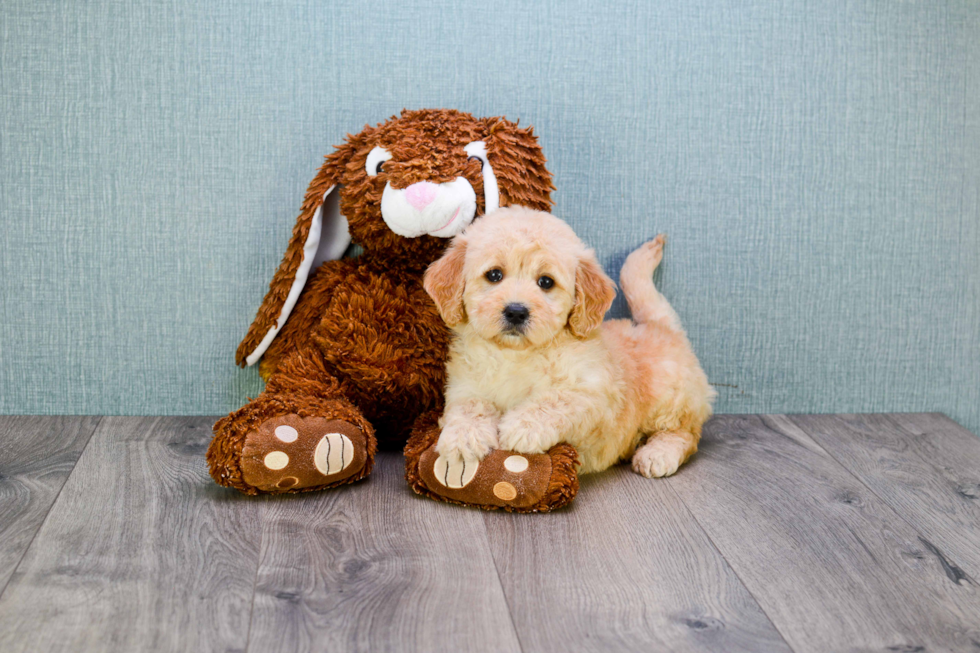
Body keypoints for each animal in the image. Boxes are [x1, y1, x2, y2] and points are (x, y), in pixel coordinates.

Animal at [424, 206, 716, 476]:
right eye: (494, 275)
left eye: (546, 282)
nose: (516, 311)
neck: (516, 354)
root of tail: (660, 326)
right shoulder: (464, 385)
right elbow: (469, 406)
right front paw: (463, 437)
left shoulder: (593, 389)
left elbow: (555, 399)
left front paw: (523, 426)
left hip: (673, 401)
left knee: (685, 434)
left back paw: (657, 454)